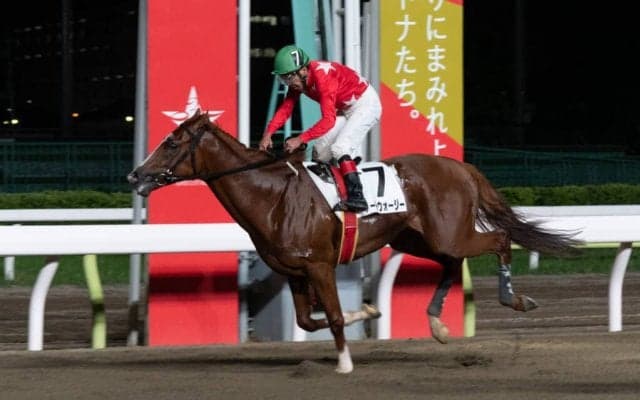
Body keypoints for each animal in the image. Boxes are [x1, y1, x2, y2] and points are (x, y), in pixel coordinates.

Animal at [127, 110, 581, 373]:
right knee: (453, 263)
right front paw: (368, 310)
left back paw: (514, 299)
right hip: (417, 239)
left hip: (449, 234)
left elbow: (332, 316)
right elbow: (308, 320)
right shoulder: (294, 271)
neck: (272, 195)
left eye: (171, 142)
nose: (135, 175)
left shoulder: (319, 265)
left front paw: (344, 363)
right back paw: (436, 322)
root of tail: (461, 167)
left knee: (500, 238)